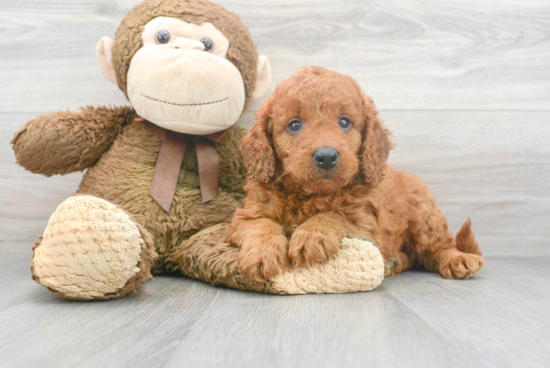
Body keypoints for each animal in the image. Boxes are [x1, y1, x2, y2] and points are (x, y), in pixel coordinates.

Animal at [226, 66, 486, 282]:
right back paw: (394, 262)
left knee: (437, 247)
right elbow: (261, 226)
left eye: (344, 122)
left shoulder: (366, 221)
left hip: (422, 212)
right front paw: (262, 255)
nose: (326, 157)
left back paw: (457, 259)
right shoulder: (247, 215)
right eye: (294, 125)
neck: (312, 195)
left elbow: (335, 214)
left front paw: (311, 237)